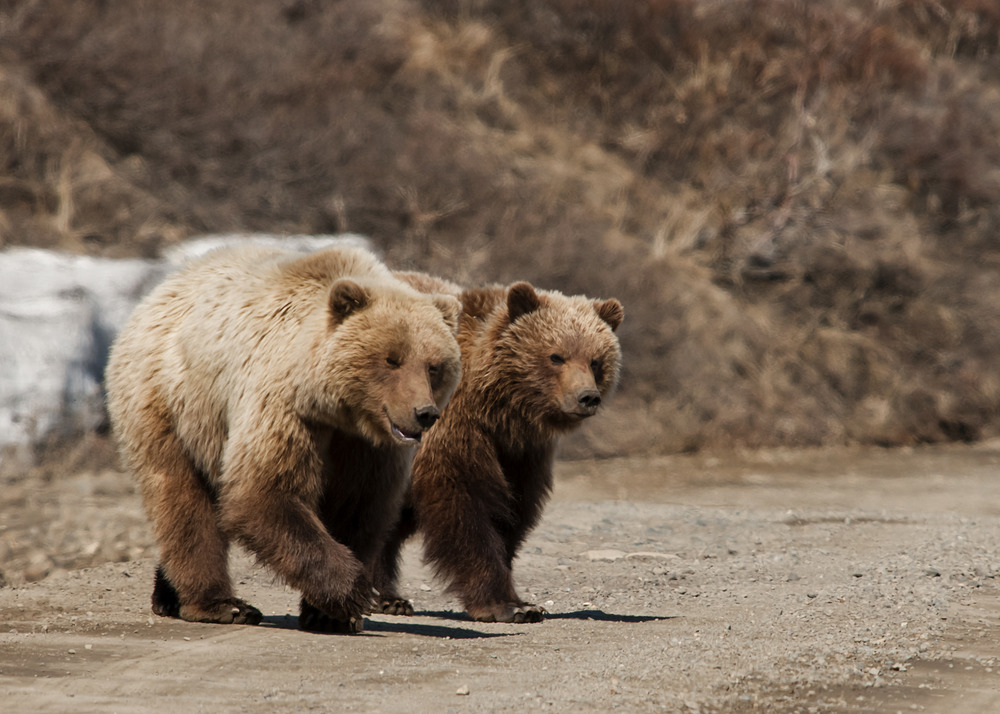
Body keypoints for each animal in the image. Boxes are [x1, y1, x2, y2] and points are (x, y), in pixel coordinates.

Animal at [105, 244, 462, 633]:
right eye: (391, 359)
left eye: (434, 365)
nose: (423, 413)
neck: (338, 409)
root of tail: (154, 296)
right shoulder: (284, 407)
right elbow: (265, 493)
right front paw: (351, 591)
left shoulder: (368, 448)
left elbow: (358, 507)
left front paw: (328, 613)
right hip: (170, 404)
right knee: (182, 498)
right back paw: (220, 604)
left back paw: (168, 595)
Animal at [373, 278, 624, 623]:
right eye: (556, 356)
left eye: (595, 360)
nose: (587, 397)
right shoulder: (453, 428)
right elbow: (465, 506)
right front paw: (505, 605)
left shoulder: (519, 452)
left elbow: (511, 513)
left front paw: (522, 602)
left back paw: (387, 597)